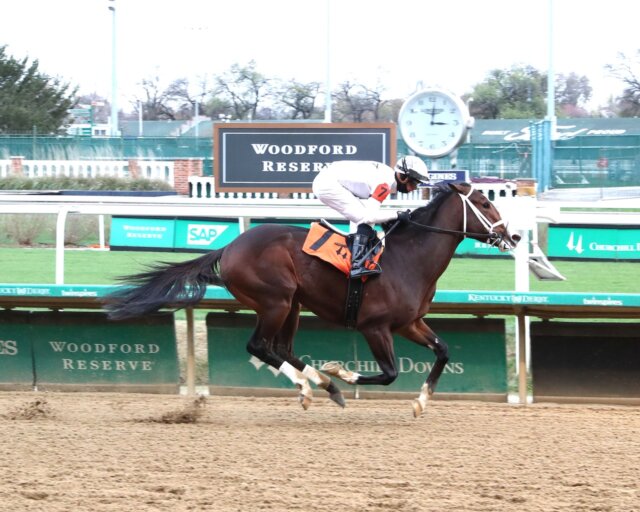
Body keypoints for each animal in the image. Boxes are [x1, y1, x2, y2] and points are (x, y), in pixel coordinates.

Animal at [106, 183, 520, 416]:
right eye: (485, 202)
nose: (512, 236)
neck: (408, 259)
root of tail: (229, 246)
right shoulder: (375, 327)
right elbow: (389, 373)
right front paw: (342, 371)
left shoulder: (409, 323)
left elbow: (443, 351)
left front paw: (421, 401)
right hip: (274, 301)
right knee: (259, 346)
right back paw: (311, 385)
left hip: (293, 304)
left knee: (282, 348)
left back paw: (322, 384)